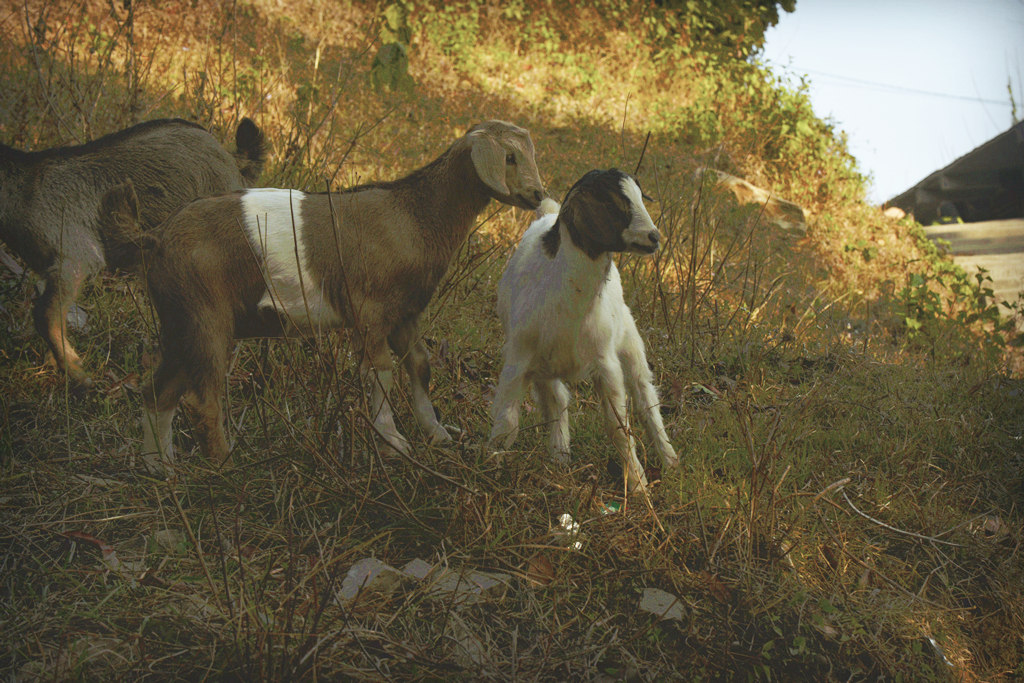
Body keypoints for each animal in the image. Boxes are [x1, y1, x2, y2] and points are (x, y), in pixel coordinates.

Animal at [100, 120, 548, 473]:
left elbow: (419, 366)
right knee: (201, 400)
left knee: (157, 393)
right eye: (509, 157)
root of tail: (154, 238)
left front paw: (436, 434)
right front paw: (392, 443)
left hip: (179, 323)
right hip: (205, 317)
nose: (538, 195)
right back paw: (226, 467)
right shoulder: (368, 311)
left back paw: (161, 468)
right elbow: (379, 372)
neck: (413, 216)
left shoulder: (404, 314)